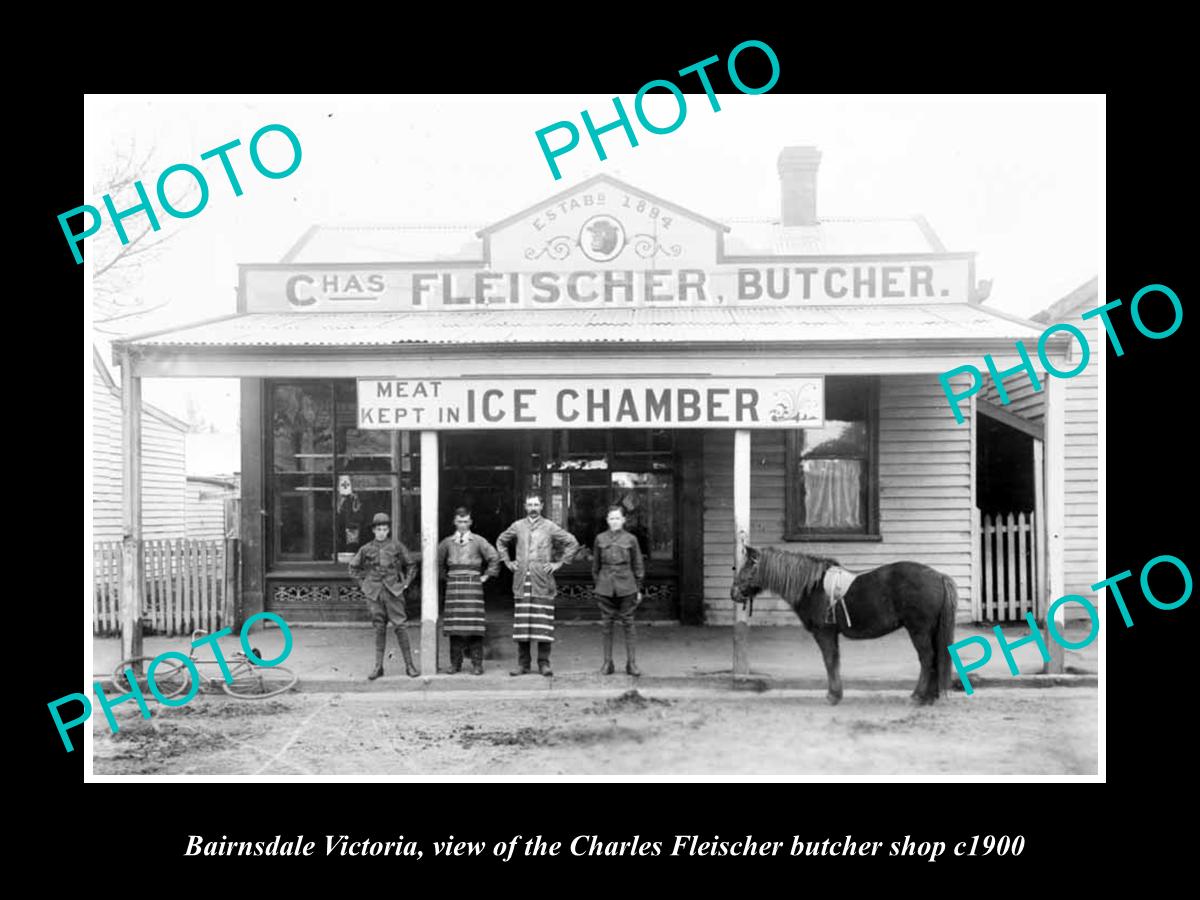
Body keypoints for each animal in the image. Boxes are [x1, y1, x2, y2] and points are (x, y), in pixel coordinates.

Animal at [729, 549, 955, 705]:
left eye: (748, 567)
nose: (734, 593)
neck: (812, 587)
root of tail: (938, 576)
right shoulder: (831, 634)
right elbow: (835, 661)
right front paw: (836, 693)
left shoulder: (824, 633)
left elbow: (829, 661)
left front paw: (833, 695)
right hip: (930, 631)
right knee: (935, 659)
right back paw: (930, 697)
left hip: (919, 630)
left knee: (927, 659)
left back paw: (918, 696)